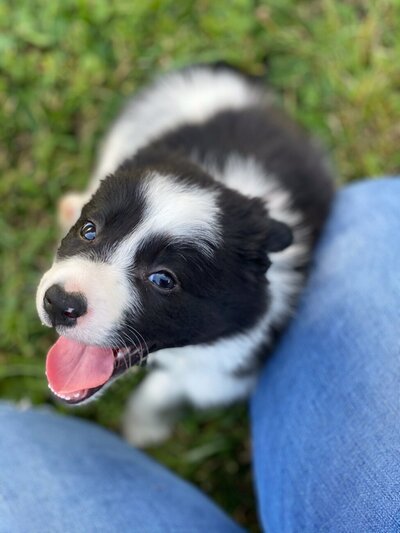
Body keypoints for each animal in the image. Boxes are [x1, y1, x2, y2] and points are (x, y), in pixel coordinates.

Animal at [36, 63, 334, 444]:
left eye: (163, 279)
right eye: (89, 230)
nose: (58, 303)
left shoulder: (229, 361)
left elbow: (169, 386)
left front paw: (142, 430)